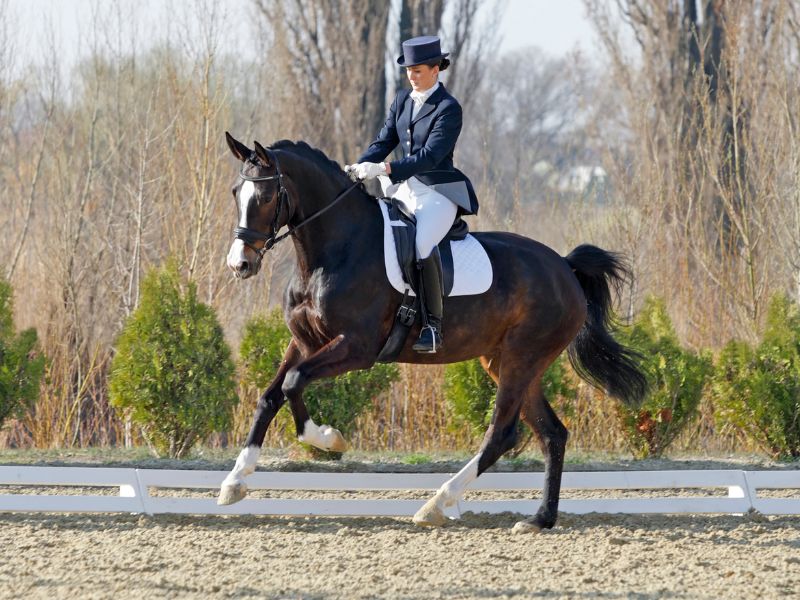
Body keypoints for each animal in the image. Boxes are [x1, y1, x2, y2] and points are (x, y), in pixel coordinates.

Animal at [220, 134, 648, 532]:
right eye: (236, 193)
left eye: (266, 196)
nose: (240, 265)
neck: (334, 250)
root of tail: (564, 266)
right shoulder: (304, 342)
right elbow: (271, 395)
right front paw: (235, 481)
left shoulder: (357, 348)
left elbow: (294, 382)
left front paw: (328, 438)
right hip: (504, 362)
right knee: (552, 434)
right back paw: (539, 519)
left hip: (522, 359)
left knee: (502, 433)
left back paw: (438, 503)